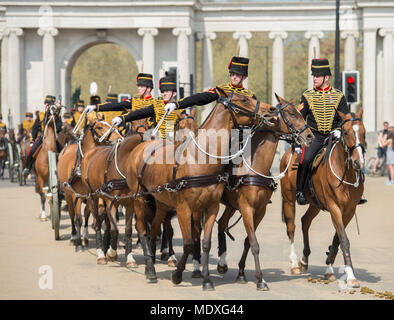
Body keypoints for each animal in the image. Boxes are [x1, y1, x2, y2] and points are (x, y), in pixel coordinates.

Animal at [57, 120, 121, 252]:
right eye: (100, 127)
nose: (118, 138)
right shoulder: (76, 195)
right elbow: (78, 219)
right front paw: (78, 244)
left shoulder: (94, 194)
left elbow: (93, 214)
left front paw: (86, 239)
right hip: (68, 194)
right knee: (72, 215)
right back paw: (73, 237)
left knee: (86, 213)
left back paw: (84, 238)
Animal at [126, 88, 278, 290]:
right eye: (244, 99)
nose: (272, 110)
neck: (200, 158)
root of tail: (141, 146)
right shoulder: (184, 208)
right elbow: (189, 243)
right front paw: (177, 275)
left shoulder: (211, 206)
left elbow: (205, 242)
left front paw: (206, 279)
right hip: (139, 199)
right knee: (142, 230)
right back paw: (150, 270)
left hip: (161, 202)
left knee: (154, 230)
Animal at [280, 108, 366, 288]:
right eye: (345, 132)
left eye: (364, 132)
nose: (358, 162)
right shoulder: (334, 207)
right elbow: (344, 240)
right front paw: (351, 276)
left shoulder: (348, 210)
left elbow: (337, 239)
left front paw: (329, 269)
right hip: (289, 199)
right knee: (291, 227)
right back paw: (294, 264)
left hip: (315, 204)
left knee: (305, 221)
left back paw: (304, 260)